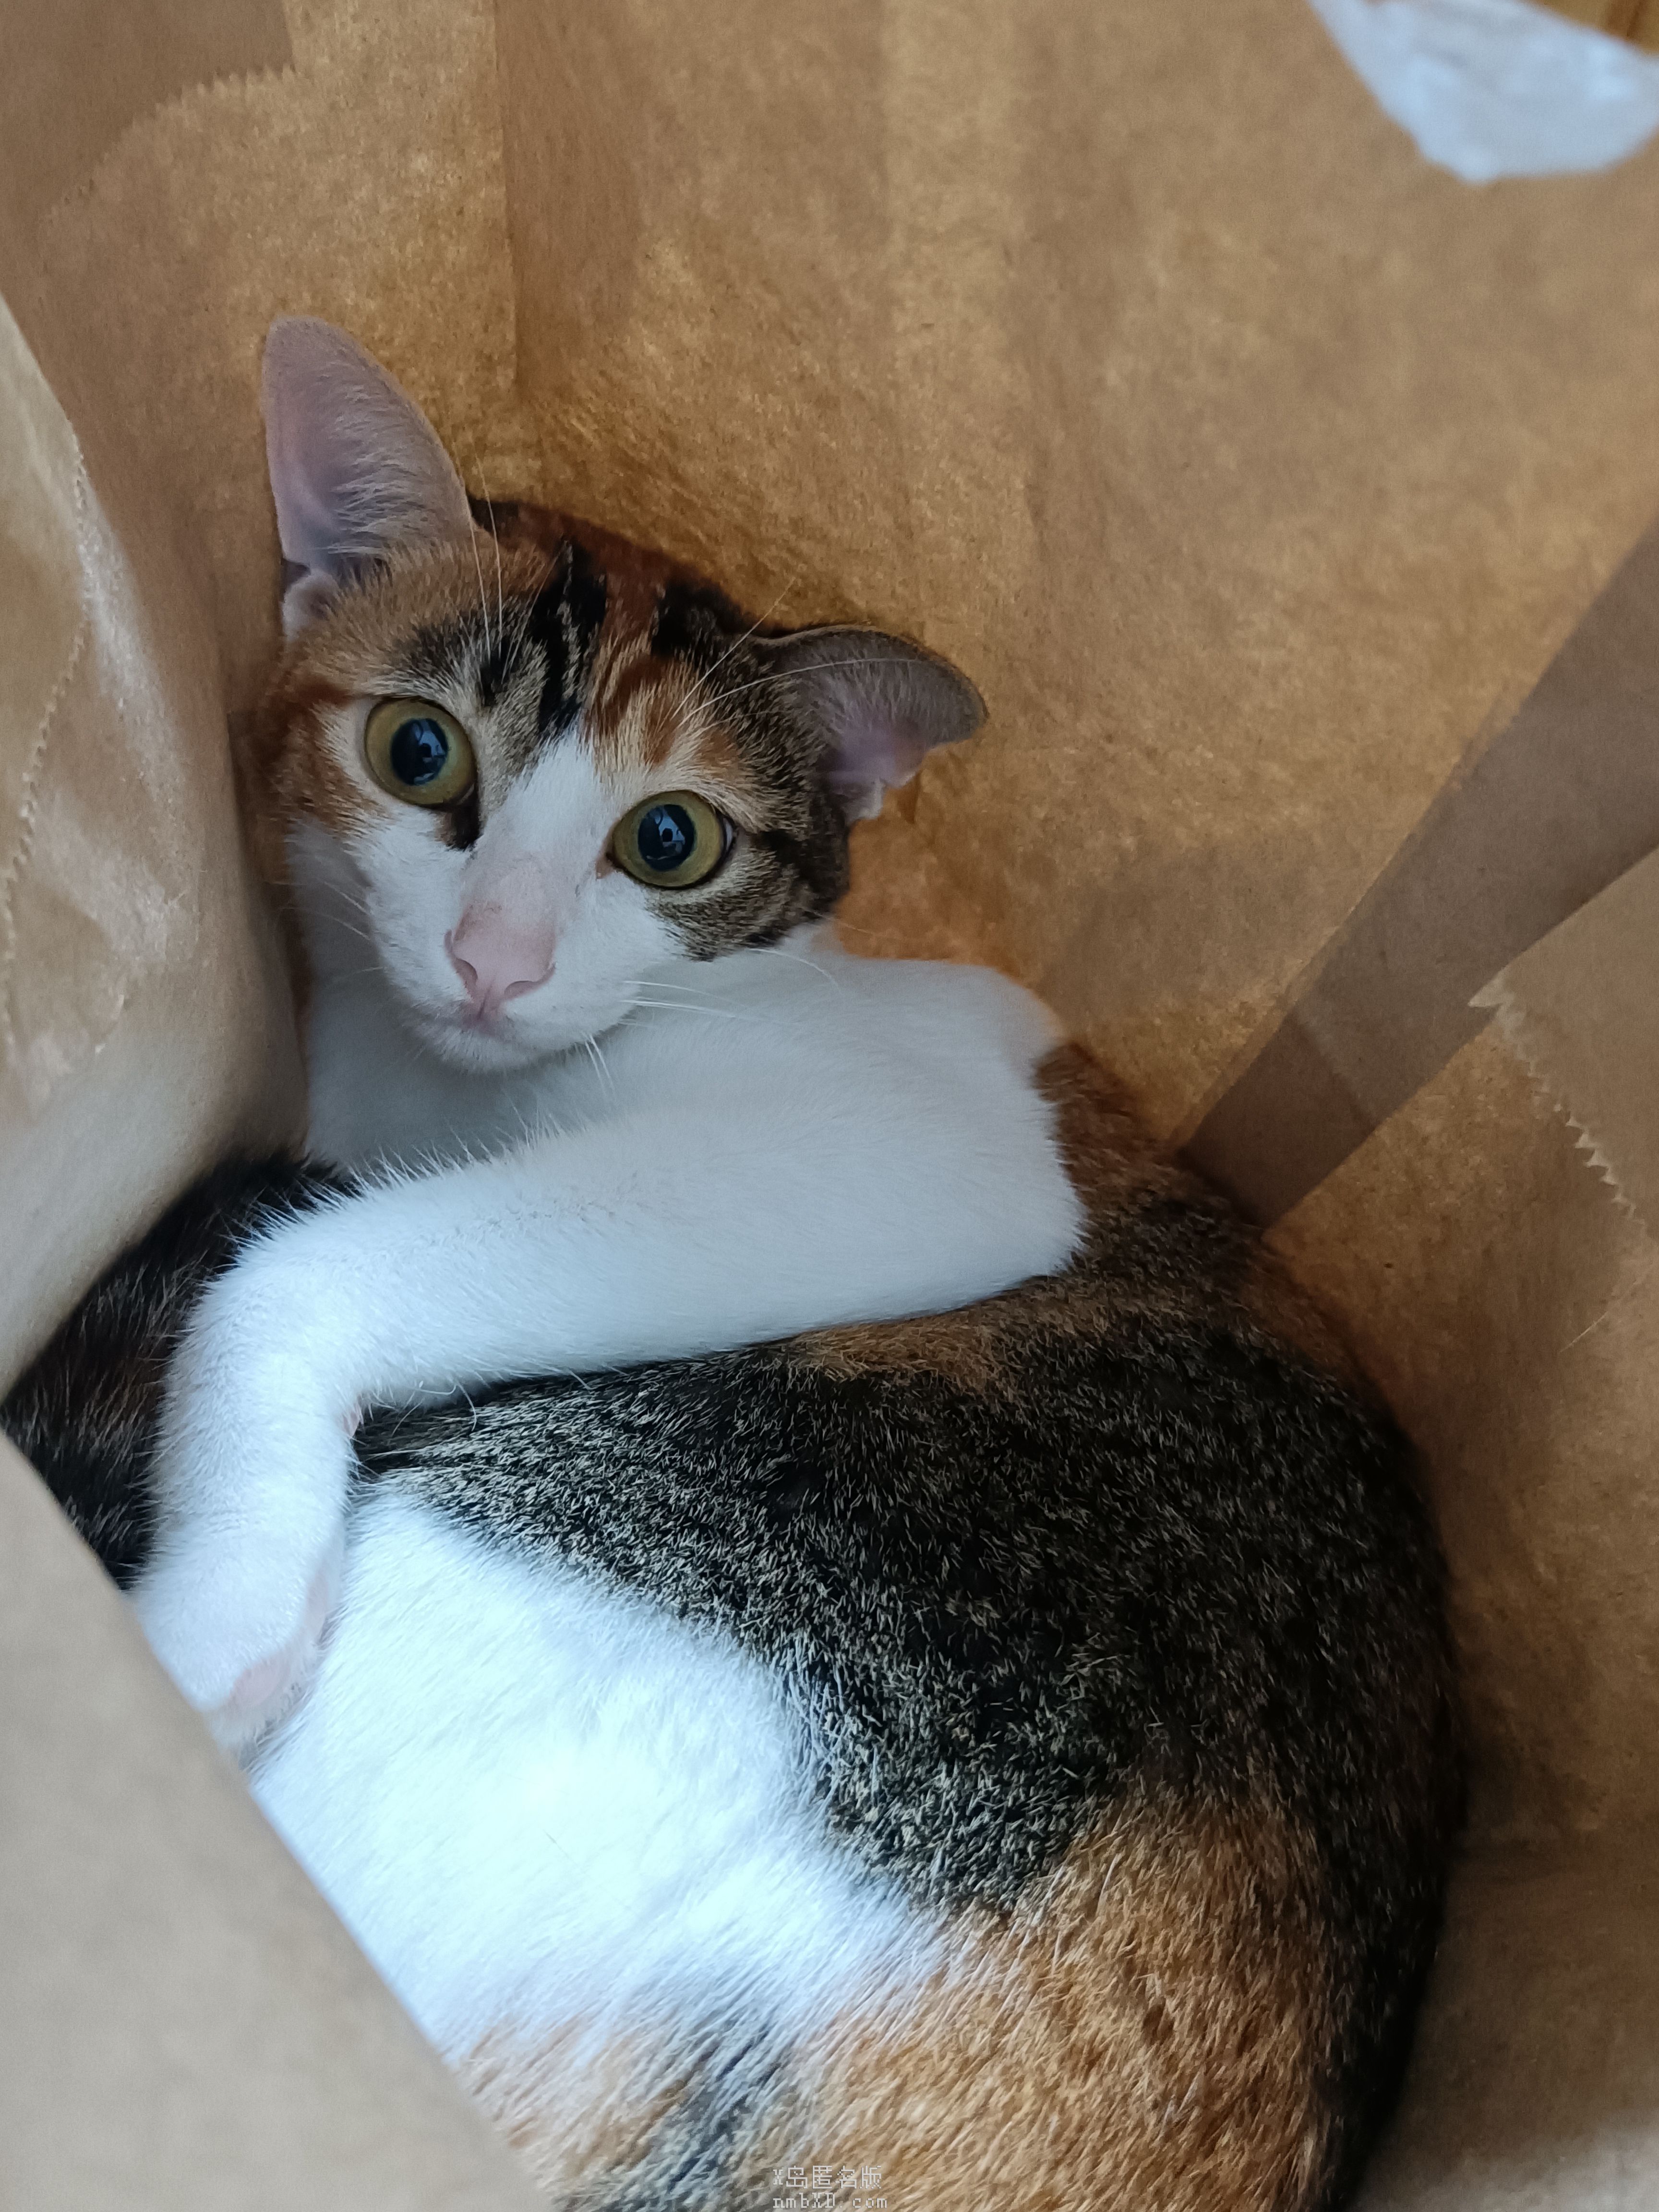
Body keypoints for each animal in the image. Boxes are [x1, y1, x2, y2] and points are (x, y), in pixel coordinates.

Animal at [2, 318, 1460, 2212]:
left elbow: (299, 1270)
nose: (493, 958)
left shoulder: (912, 1149)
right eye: (419, 751)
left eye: (668, 841)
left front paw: (219, 1609)